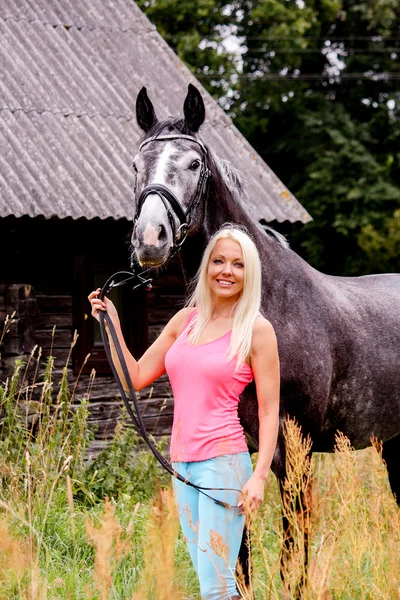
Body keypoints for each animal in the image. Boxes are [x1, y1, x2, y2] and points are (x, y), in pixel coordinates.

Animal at [131, 84, 400, 596]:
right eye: (137, 164)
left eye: (193, 164)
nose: (150, 239)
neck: (264, 303)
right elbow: (239, 559)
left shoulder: (293, 455)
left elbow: (294, 558)